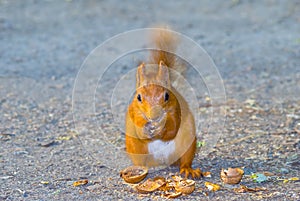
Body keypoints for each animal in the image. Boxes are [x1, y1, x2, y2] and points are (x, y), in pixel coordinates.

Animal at [125, 28, 200, 177]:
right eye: (138, 97)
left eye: (167, 96)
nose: (154, 117)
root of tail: (161, 162)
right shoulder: (134, 111)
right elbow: (139, 130)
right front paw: (146, 129)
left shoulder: (176, 109)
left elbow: (173, 129)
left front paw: (161, 129)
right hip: (134, 146)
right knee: (141, 161)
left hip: (188, 142)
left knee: (185, 159)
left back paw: (188, 169)